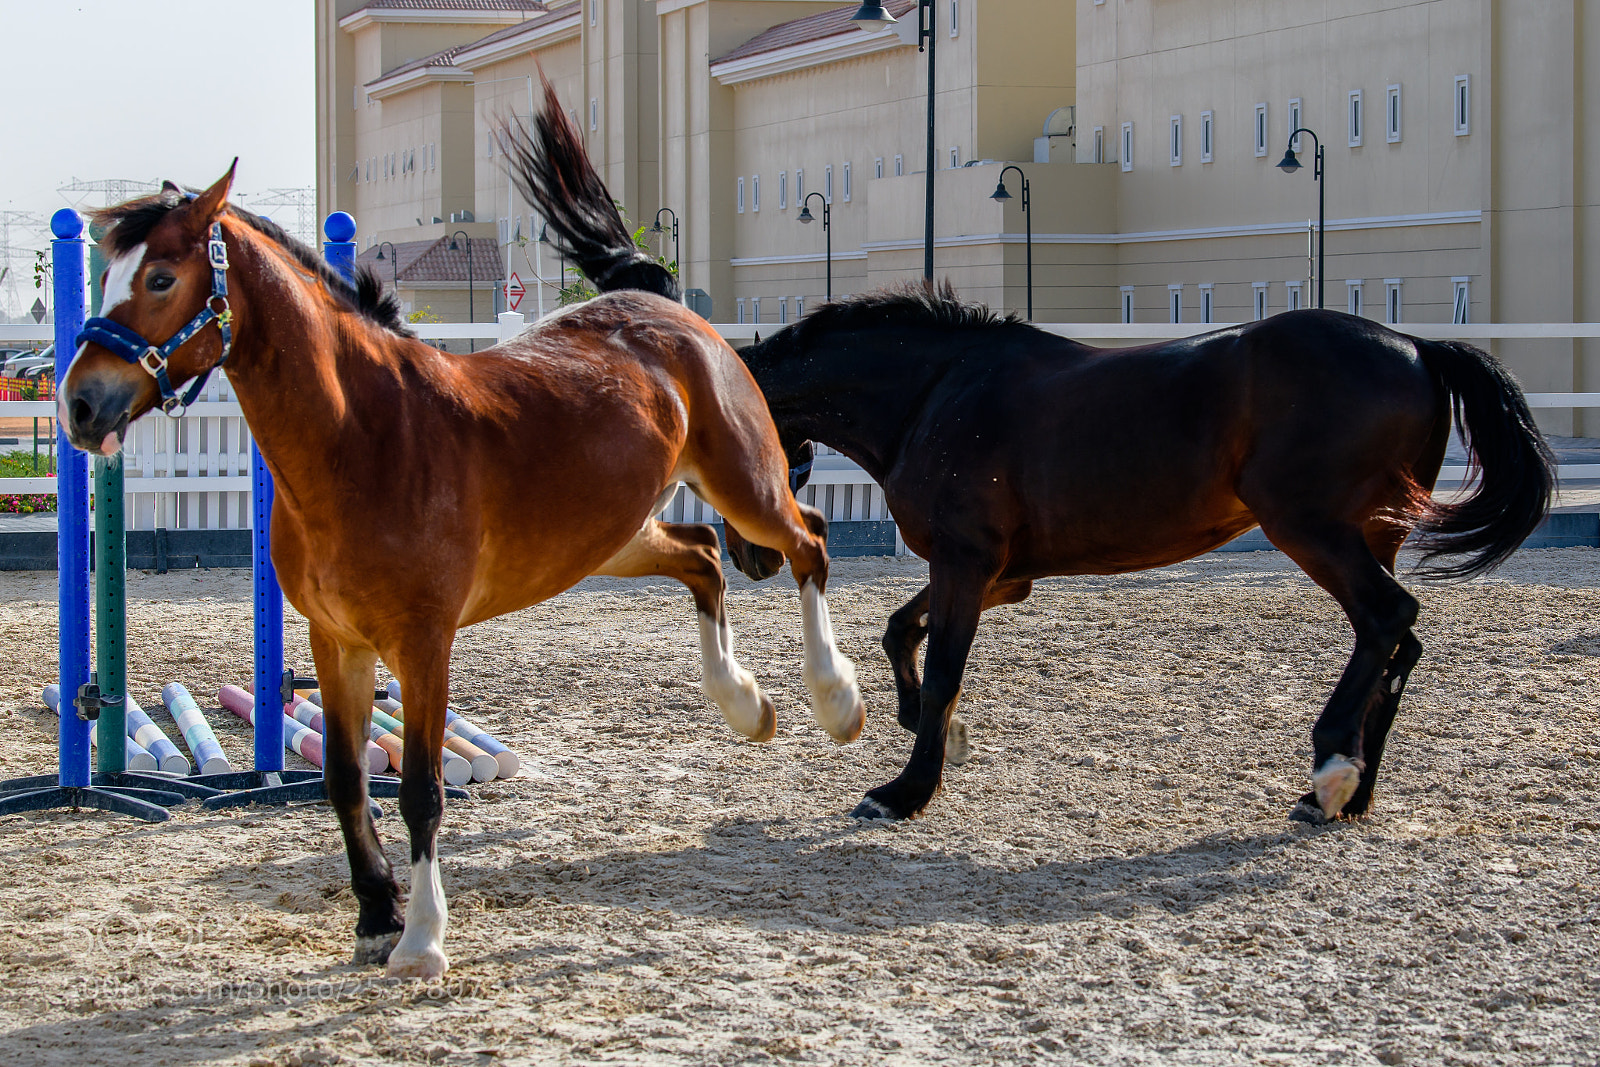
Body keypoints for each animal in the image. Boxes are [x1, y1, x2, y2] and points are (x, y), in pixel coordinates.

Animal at [55, 79, 864, 979]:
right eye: (103, 277)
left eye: (162, 275)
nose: (80, 404)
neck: (361, 437)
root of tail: (661, 304)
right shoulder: (336, 640)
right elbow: (344, 778)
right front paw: (375, 915)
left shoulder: (422, 642)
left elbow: (420, 787)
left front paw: (422, 937)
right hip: (611, 536)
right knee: (704, 557)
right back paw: (746, 705)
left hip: (744, 482)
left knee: (808, 539)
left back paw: (836, 700)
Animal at [731, 284, 1554, 824]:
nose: (752, 560)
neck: (933, 393)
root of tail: (1417, 347)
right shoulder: (1000, 574)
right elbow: (901, 630)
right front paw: (921, 732)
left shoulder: (966, 563)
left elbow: (941, 677)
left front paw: (905, 790)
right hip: (1371, 534)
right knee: (1395, 642)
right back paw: (1350, 789)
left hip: (1312, 528)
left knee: (1388, 617)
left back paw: (1330, 766)